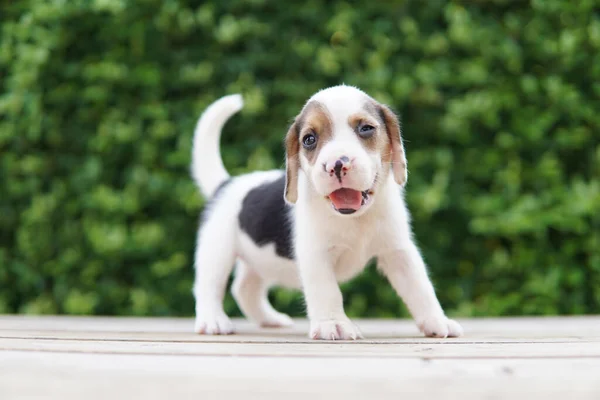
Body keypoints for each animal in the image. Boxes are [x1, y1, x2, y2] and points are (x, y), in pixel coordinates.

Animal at [190, 85, 462, 340]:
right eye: (309, 139)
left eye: (366, 129)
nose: (337, 164)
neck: (355, 218)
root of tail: (226, 184)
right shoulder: (316, 255)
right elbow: (327, 290)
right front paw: (334, 323)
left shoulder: (399, 251)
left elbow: (420, 287)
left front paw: (437, 321)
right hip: (217, 252)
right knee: (209, 287)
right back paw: (213, 320)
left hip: (258, 259)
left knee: (244, 289)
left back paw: (270, 319)